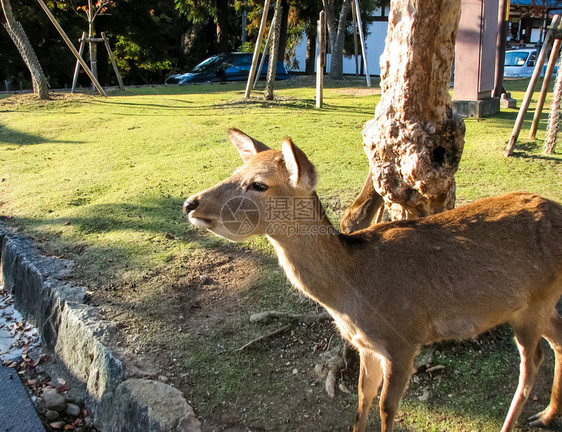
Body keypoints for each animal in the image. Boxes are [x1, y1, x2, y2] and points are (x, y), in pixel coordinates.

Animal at [183, 128, 560, 432]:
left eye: (258, 184)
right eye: (235, 171)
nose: (190, 203)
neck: (353, 291)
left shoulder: (404, 340)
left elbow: (386, 408)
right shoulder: (366, 345)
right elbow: (362, 400)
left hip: (533, 303)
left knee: (533, 360)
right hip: (538, 303)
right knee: (558, 339)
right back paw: (545, 415)